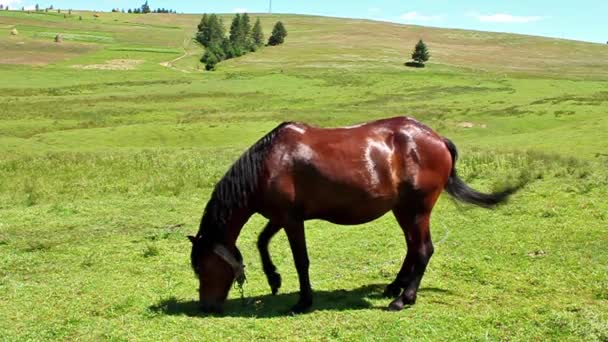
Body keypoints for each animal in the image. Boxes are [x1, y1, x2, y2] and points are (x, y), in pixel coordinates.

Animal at [188, 116, 520, 314]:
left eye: (202, 267)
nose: (206, 306)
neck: (268, 162)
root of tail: (436, 138)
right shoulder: (281, 216)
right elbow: (261, 241)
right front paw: (274, 278)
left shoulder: (292, 220)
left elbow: (300, 260)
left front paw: (303, 300)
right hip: (402, 209)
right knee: (413, 247)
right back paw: (395, 286)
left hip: (417, 209)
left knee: (424, 249)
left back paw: (403, 298)